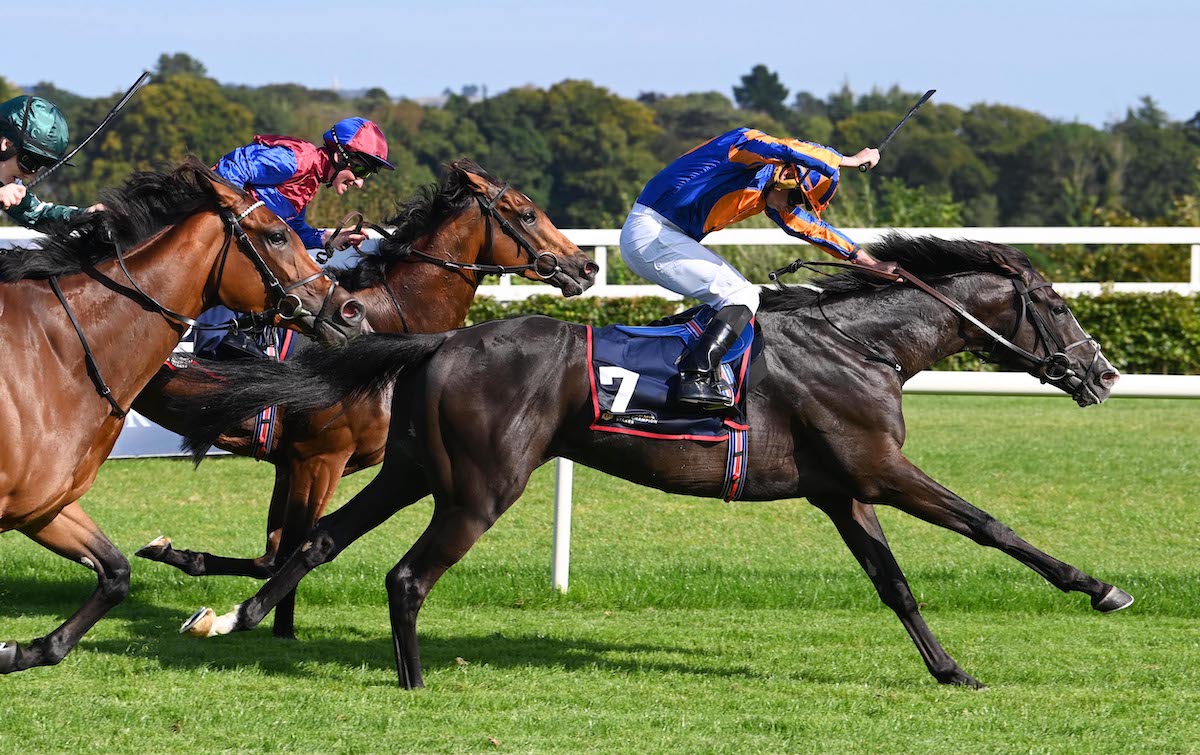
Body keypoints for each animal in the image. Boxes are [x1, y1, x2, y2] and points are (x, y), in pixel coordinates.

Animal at [0, 157, 364, 672]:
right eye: (277, 235)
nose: (349, 311)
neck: (61, 348)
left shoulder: (42, 504)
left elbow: (116, 574)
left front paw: (23, 650)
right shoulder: (319, 460)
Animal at [130, 158, 595, 633]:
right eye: (528, 214)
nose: (585, 267)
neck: (380, 324)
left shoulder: (293, 463)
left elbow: (274, 554)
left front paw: (184, 561)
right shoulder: (320, 461)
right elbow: (287, 551)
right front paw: (271, 626)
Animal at [174, 235, 1128, 691]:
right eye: (1053, 303)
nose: (1104, 372)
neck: (862, 345)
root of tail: (443, 338)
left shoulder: (842, 489)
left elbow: (893, 583)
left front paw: (951, 669)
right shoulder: (879, 467)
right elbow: (990, 524)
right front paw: (1101, 586)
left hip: (411, 467)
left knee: (318, 539)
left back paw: (235, 614)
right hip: (481, 487)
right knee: (406, 575)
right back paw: (413, 682)